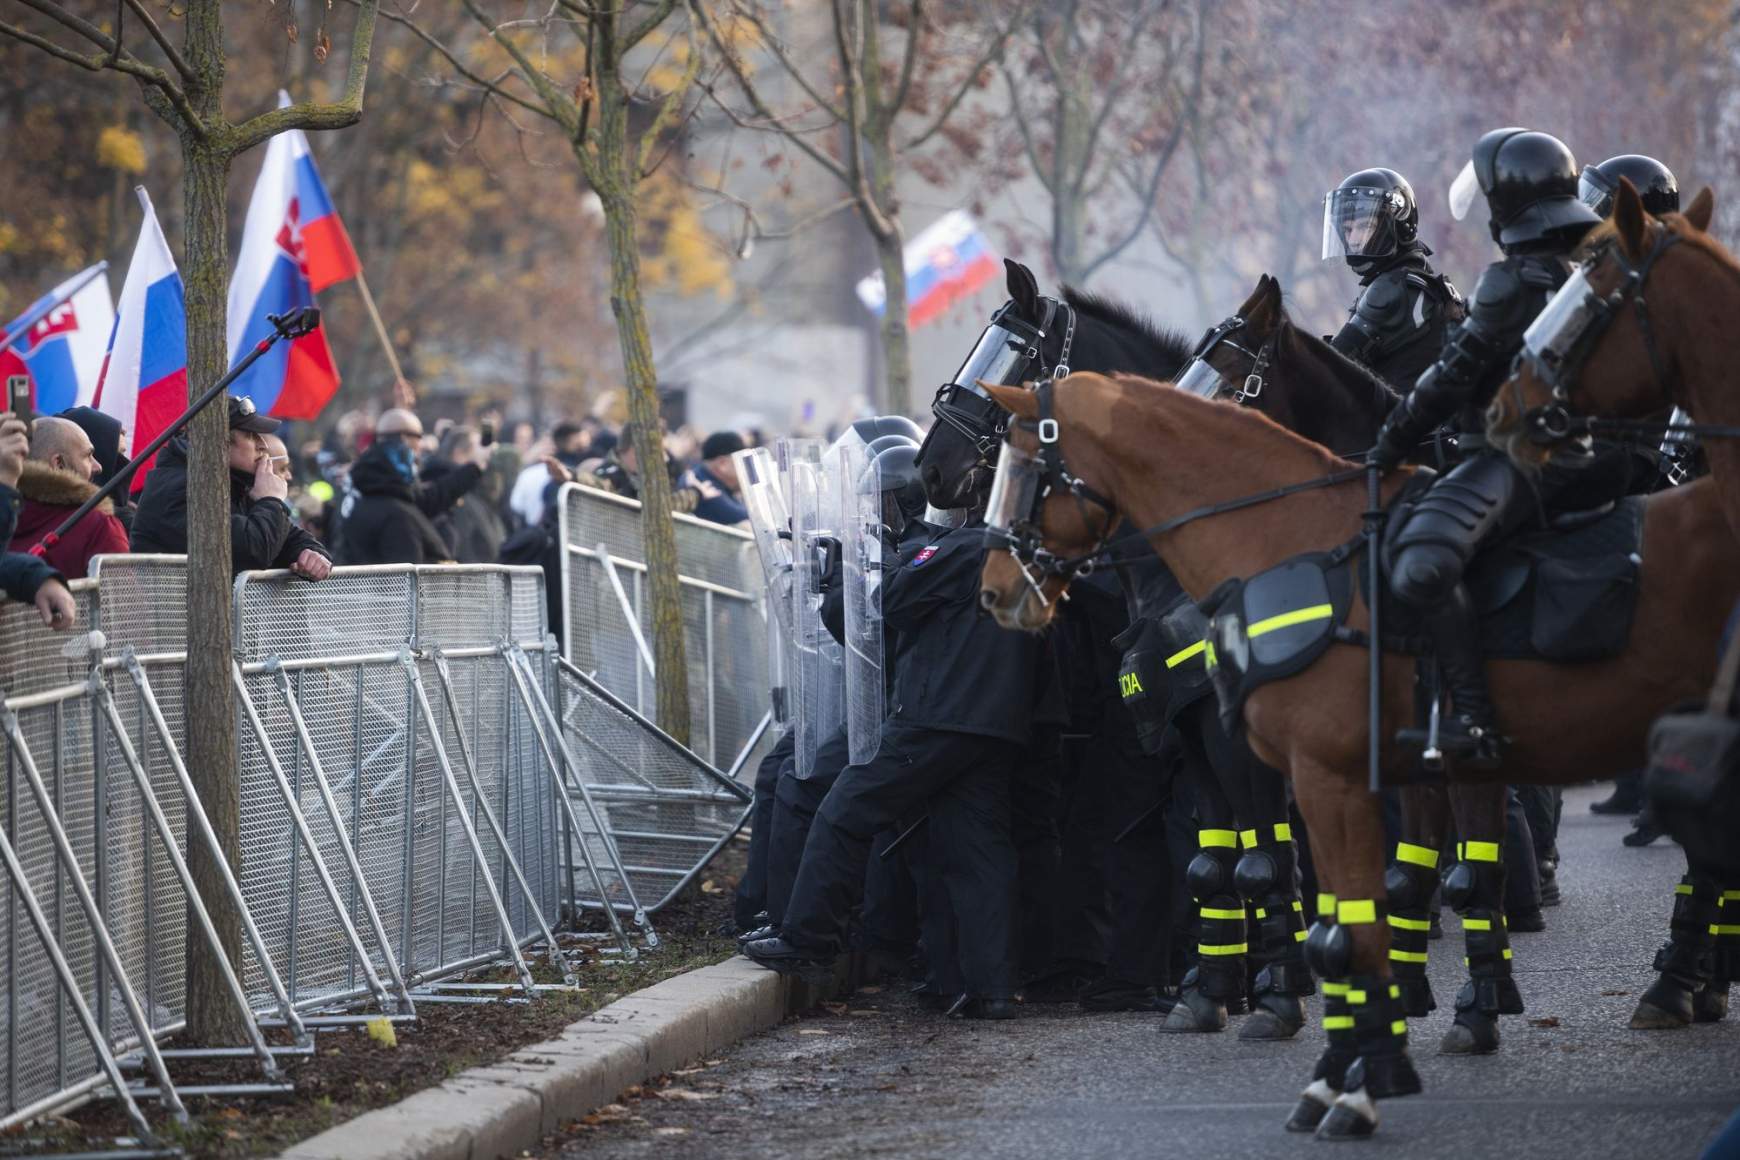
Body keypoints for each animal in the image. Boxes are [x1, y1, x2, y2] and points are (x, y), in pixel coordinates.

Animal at [981, 373, 1740, 1140]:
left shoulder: (1319, 771)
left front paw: (1336, 1051)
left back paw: (1678, 986)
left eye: (1019, 473)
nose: (994, 591)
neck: (1285, 540)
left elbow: (1313, 893)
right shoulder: (1289, 759)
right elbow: (1354, 891)